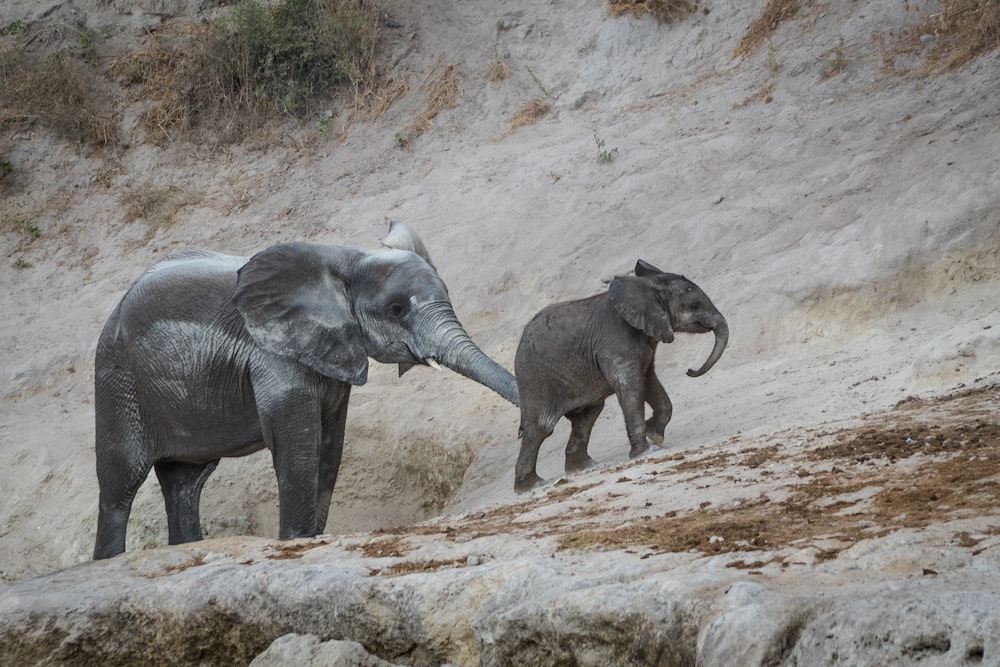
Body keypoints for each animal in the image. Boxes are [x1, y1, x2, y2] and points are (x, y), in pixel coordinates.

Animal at [93, 223, 516, 560]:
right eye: (397, 310)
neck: (348, 260)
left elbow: (329, 447)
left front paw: (310, 538)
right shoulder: (273, 354)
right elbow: (298, 445)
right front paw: (296, 541)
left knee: (185, 482)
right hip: (118, 380)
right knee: (120, 482)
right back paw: (109, 559)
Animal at [512, 260, 732, 490]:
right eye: (694, 305)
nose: (689, 371)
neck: (648, 285)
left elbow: (649, 381)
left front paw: (654, 435)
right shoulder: (615, 341)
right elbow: (631, 386)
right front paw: (647, 451)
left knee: (588, 415)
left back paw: (585, 466)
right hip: (533, 378)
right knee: (540, 427)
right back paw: (532, 485)